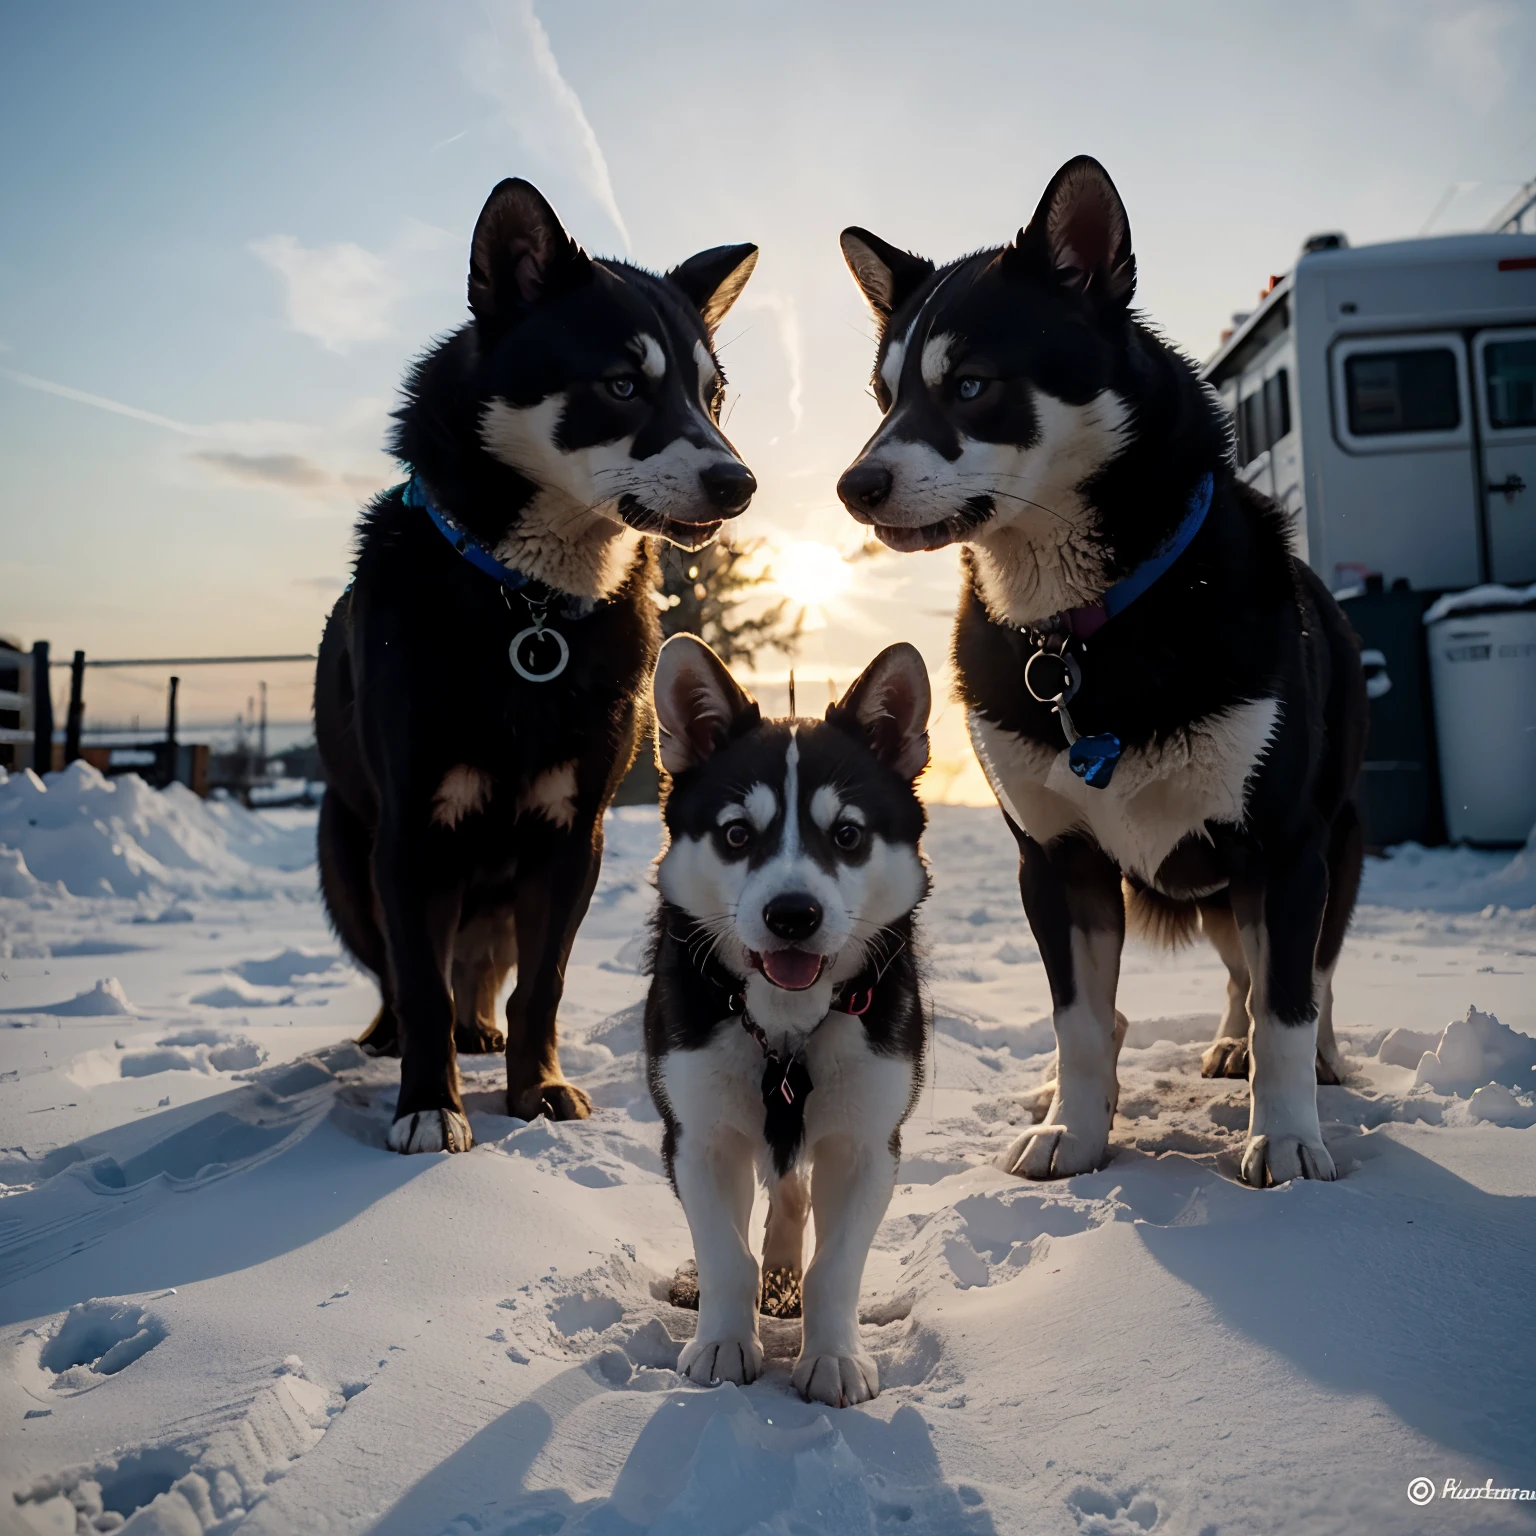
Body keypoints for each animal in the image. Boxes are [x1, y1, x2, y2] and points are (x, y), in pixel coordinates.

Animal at [317, 179, 761, 1155]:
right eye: (623, 385)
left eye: (714, 396)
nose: (739, 485)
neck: (529, 604)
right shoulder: (411, 837)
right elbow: (419, 982)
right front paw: (428, 1105)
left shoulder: (572, 838)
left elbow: (543, 987)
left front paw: (538, 1092)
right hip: (346, 859)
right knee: (403, 977)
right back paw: (394, 1039)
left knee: (484, 978)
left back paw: (481, 1027)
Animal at [645, 632, 927, 1406]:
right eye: (738, 834)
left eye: (849, 835)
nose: (792, 914)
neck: (788, 1026)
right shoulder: (698, 1135)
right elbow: (724, 1254)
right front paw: (721, 1344)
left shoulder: (867, 1141)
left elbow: (836, 1265)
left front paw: (833, 1357)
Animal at [841, 155, 1370, 1185]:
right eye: (884, 400)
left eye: (971, 384)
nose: (854, 486)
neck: (1085, 627)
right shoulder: (1055, 864)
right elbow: (1081, 1020)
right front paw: (1076, 1132)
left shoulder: (1284, 848)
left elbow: (1287, 1005)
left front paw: (1286, 1135)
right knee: (1227, 978)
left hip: (1330, 843)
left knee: (1302, 977)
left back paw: (1301, 1064)